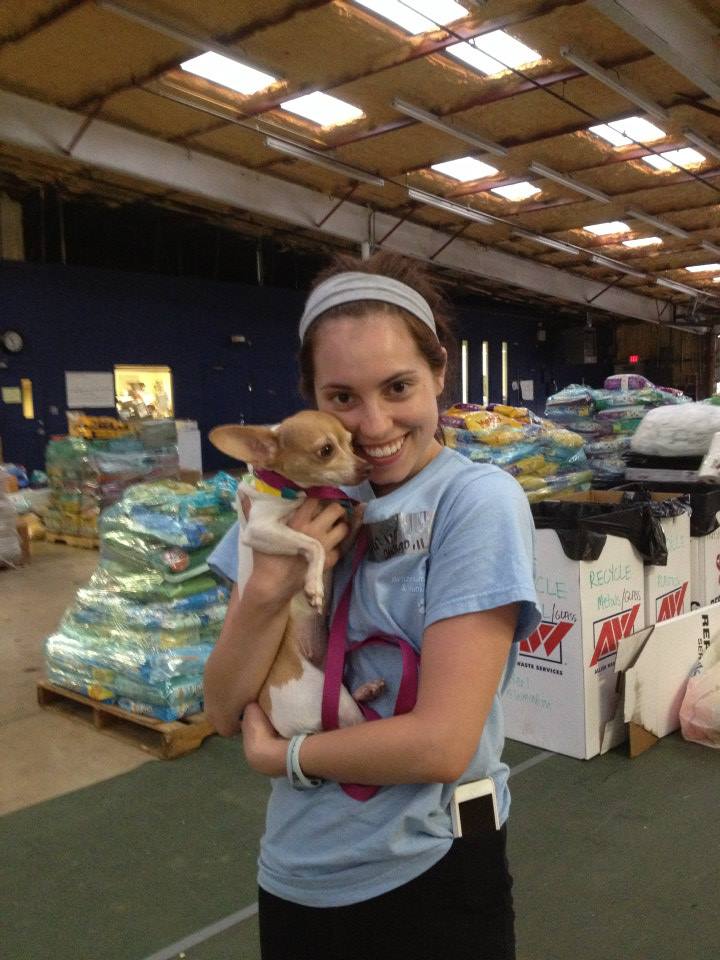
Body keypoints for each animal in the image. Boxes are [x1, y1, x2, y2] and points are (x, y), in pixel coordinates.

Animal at [209, 410, 384, 738]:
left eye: (351, 442)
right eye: (326, 451)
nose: (367, 466)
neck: (295, 491)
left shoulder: (340, 540)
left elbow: (353, 520)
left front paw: (362, 509)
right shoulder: (260, 530)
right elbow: (313, 544)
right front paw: (314, 587)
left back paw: (367, 689)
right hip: (326, 698)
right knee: (348, 726)